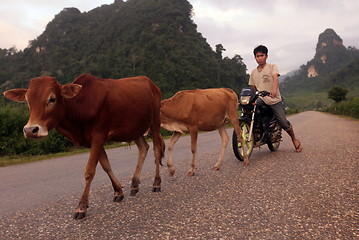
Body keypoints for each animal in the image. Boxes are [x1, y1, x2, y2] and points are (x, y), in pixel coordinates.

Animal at [3, 73, 165, 219]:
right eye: (28, 100)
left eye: (52, 99)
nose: (30, 130)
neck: (79, 106)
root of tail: (151, 84)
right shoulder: (92, 140)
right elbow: (106, 165)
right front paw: (118, 191)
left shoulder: (98, 135)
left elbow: (89, 171)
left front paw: (81, 207)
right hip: (136, 128)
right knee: (143, 148)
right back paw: (135, 184)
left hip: (155, 121)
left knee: (156, 150)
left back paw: (156, 183)